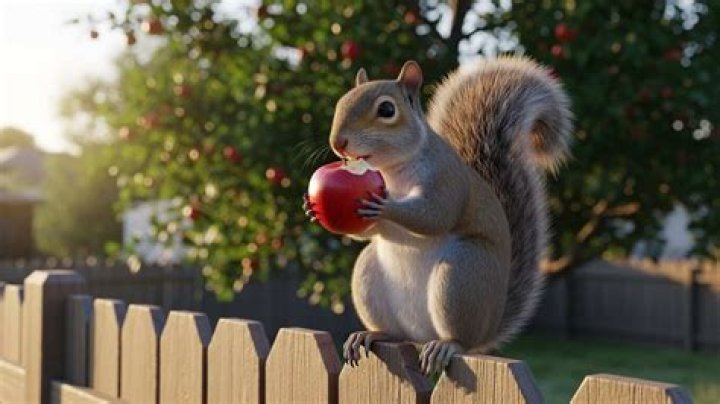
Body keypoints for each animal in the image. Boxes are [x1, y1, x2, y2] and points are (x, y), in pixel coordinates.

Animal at [305, 56, 572, 375]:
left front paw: (387, 206)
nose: (338, 143)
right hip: (368, 276)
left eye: (387, 110)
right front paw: (311, 208)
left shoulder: (446, 178)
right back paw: (371, 335)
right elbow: (363, 232)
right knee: (395, 333)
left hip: (459, 276)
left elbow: (435, 215)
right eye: (341, 101)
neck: (391, 170)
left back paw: (447, 345)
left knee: (462, 340)